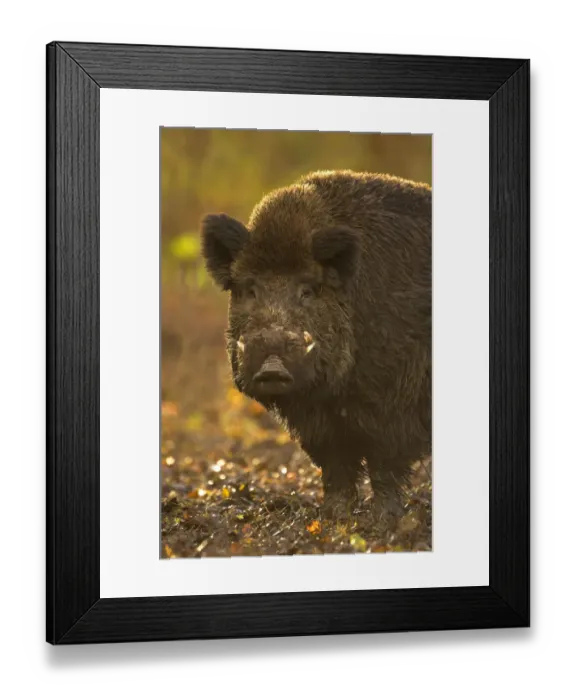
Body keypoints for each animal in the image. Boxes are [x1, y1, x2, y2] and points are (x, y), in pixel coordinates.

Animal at [200, 170, 431, 523]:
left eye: (307, 291)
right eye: (250, 289)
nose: (272, 367)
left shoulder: (395, 397)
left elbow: (384, 463)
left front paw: (384, 520)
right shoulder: (316, 421)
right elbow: (335, 464)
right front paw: (333, 516)